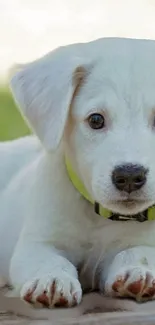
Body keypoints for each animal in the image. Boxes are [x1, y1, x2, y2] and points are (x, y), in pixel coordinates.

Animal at [0, 37, 155, 306]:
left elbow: (139, 251)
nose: (129, 176)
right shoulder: (37, 243)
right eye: (96, 120)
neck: (101, 217)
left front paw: (138, 271)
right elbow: (50, 260)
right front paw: (51, 279)